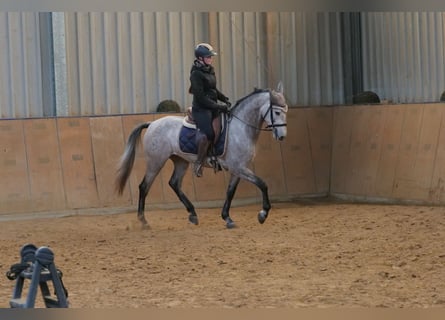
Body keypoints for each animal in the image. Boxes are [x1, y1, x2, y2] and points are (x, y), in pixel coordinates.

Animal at [114, 81, 288, 229]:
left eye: (286, 111)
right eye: (277, 112)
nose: (282, 136)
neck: (240, 127)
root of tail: (152, 124)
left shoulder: (238, 169)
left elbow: (230, 192)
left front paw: (227, 218)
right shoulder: (239, 168)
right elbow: (262, 184)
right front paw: (263, 214)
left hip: (181, 161)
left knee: (174, 183)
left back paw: (192, 214)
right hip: (156, 161)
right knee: (144, 186)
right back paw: (143, 221)